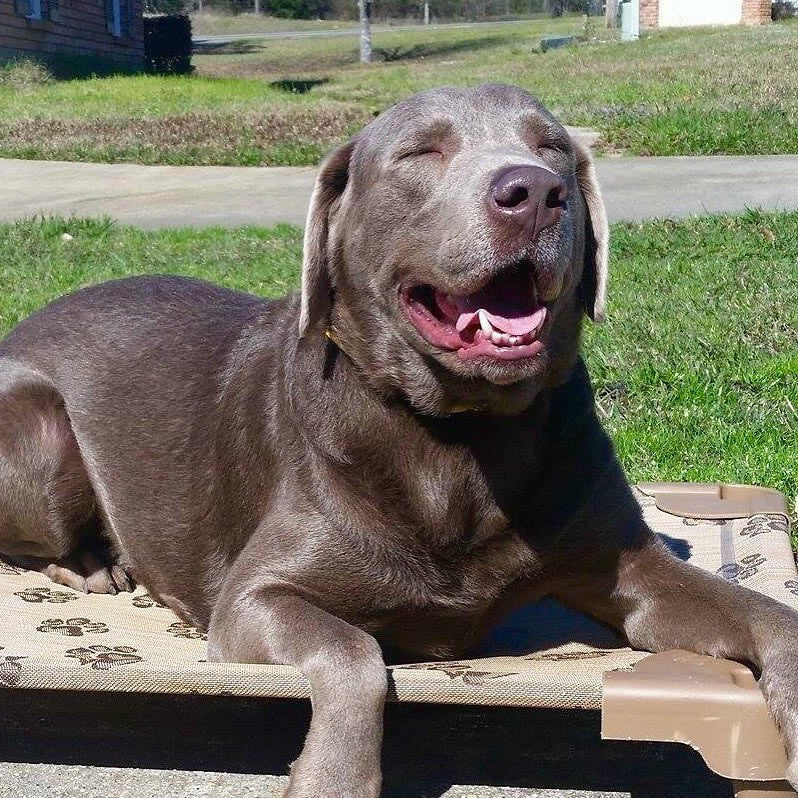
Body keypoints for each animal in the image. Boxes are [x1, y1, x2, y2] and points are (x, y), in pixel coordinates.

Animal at [1, 84, 798, 796]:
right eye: (421, 152)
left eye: (552, 148)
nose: (536, 191)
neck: (460, 434)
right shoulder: (253, 600)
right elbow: (352, 651)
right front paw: (334, 778)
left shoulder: (631, 565)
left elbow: (772, 616)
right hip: (40, 429)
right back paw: (93, 563)